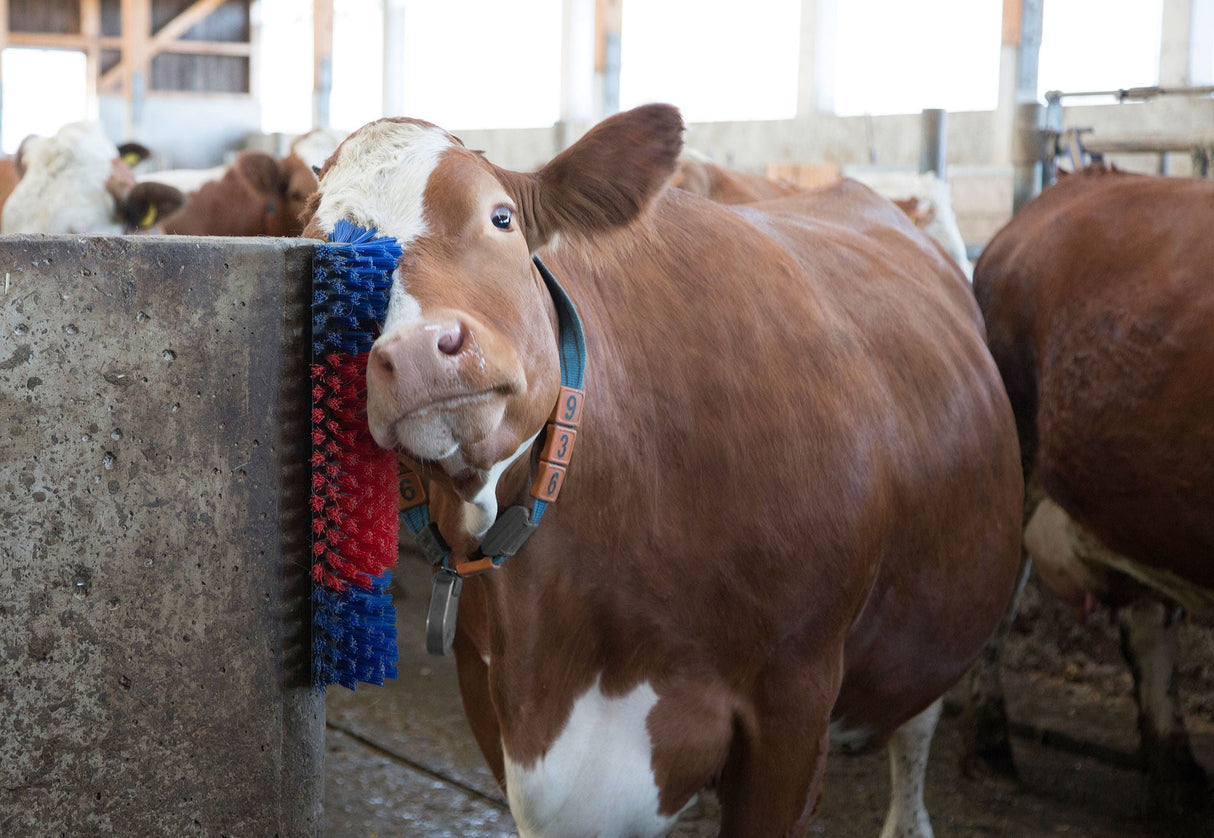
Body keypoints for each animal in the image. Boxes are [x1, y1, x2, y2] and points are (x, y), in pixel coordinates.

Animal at [305, 104, 1024, 835]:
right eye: (323, 269)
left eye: (500, 217)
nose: (418, 353)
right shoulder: (492, 699)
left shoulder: (793, 706)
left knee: (917, 724)